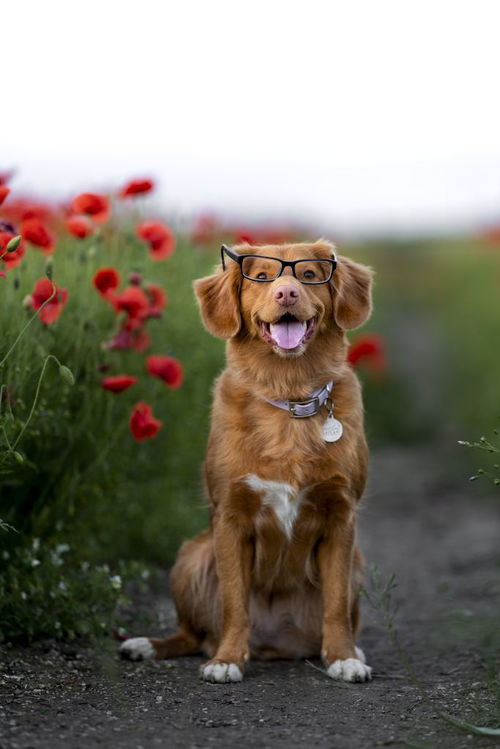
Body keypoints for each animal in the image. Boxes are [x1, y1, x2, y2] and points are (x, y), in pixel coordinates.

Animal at [119, 240, 374, 684]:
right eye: (261, 277)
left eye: (309, 275)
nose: (286, 293)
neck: (289, 395)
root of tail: (276, 644)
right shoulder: (230, 518)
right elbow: (235, 602)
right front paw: (227, 660)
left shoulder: (342, 517)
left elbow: (336, 603)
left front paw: (343, 657)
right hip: (192, 556)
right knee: (191, 634)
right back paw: (148, 645)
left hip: (356, 561)